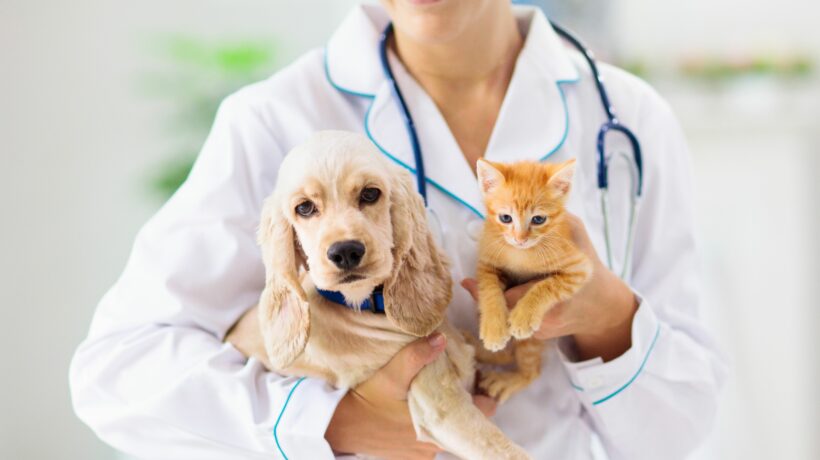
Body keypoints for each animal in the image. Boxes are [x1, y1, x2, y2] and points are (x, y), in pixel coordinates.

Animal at [258, 130, 532, 460]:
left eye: (370, 194)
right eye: (305, 208)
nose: (345, 252)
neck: (368, 306)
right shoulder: (440, 407)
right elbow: (508, 452)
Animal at [474, 158, 588, 402]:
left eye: (538, 219)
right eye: (505, 218)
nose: (520, 239)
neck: (521, 254)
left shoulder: (579, 267)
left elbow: (547, 285)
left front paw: (523, 316)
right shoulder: (487, 261)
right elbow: (488, 289)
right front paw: (494, 328)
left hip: (532, 342)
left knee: (531, 370)